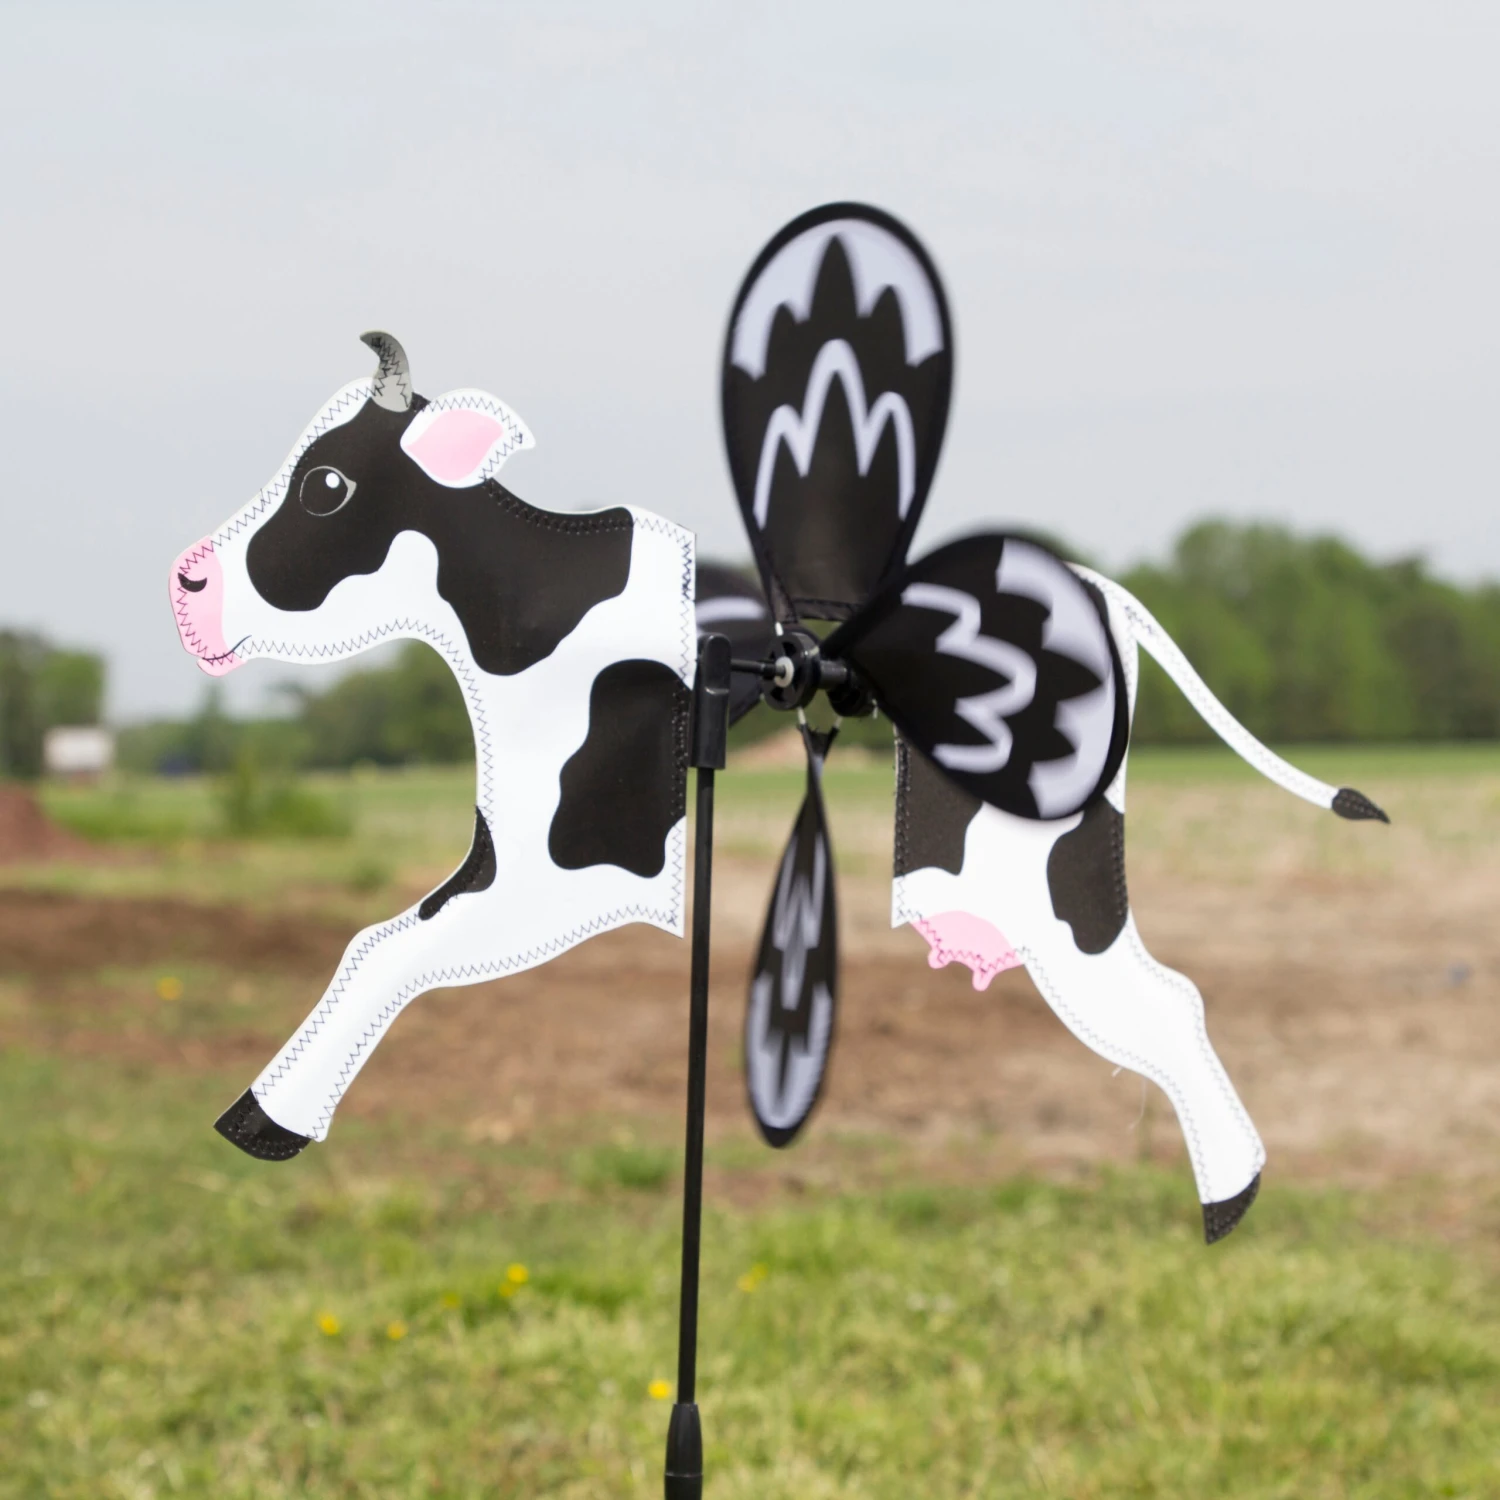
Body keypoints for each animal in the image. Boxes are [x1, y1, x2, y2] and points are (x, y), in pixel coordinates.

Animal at [170, 333, 696, 1159]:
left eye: (325, 484)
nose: (185, 582)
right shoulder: (500, 853)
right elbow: (373, 940)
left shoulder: (573, 872)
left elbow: (383, 949)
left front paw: (270, 1112)